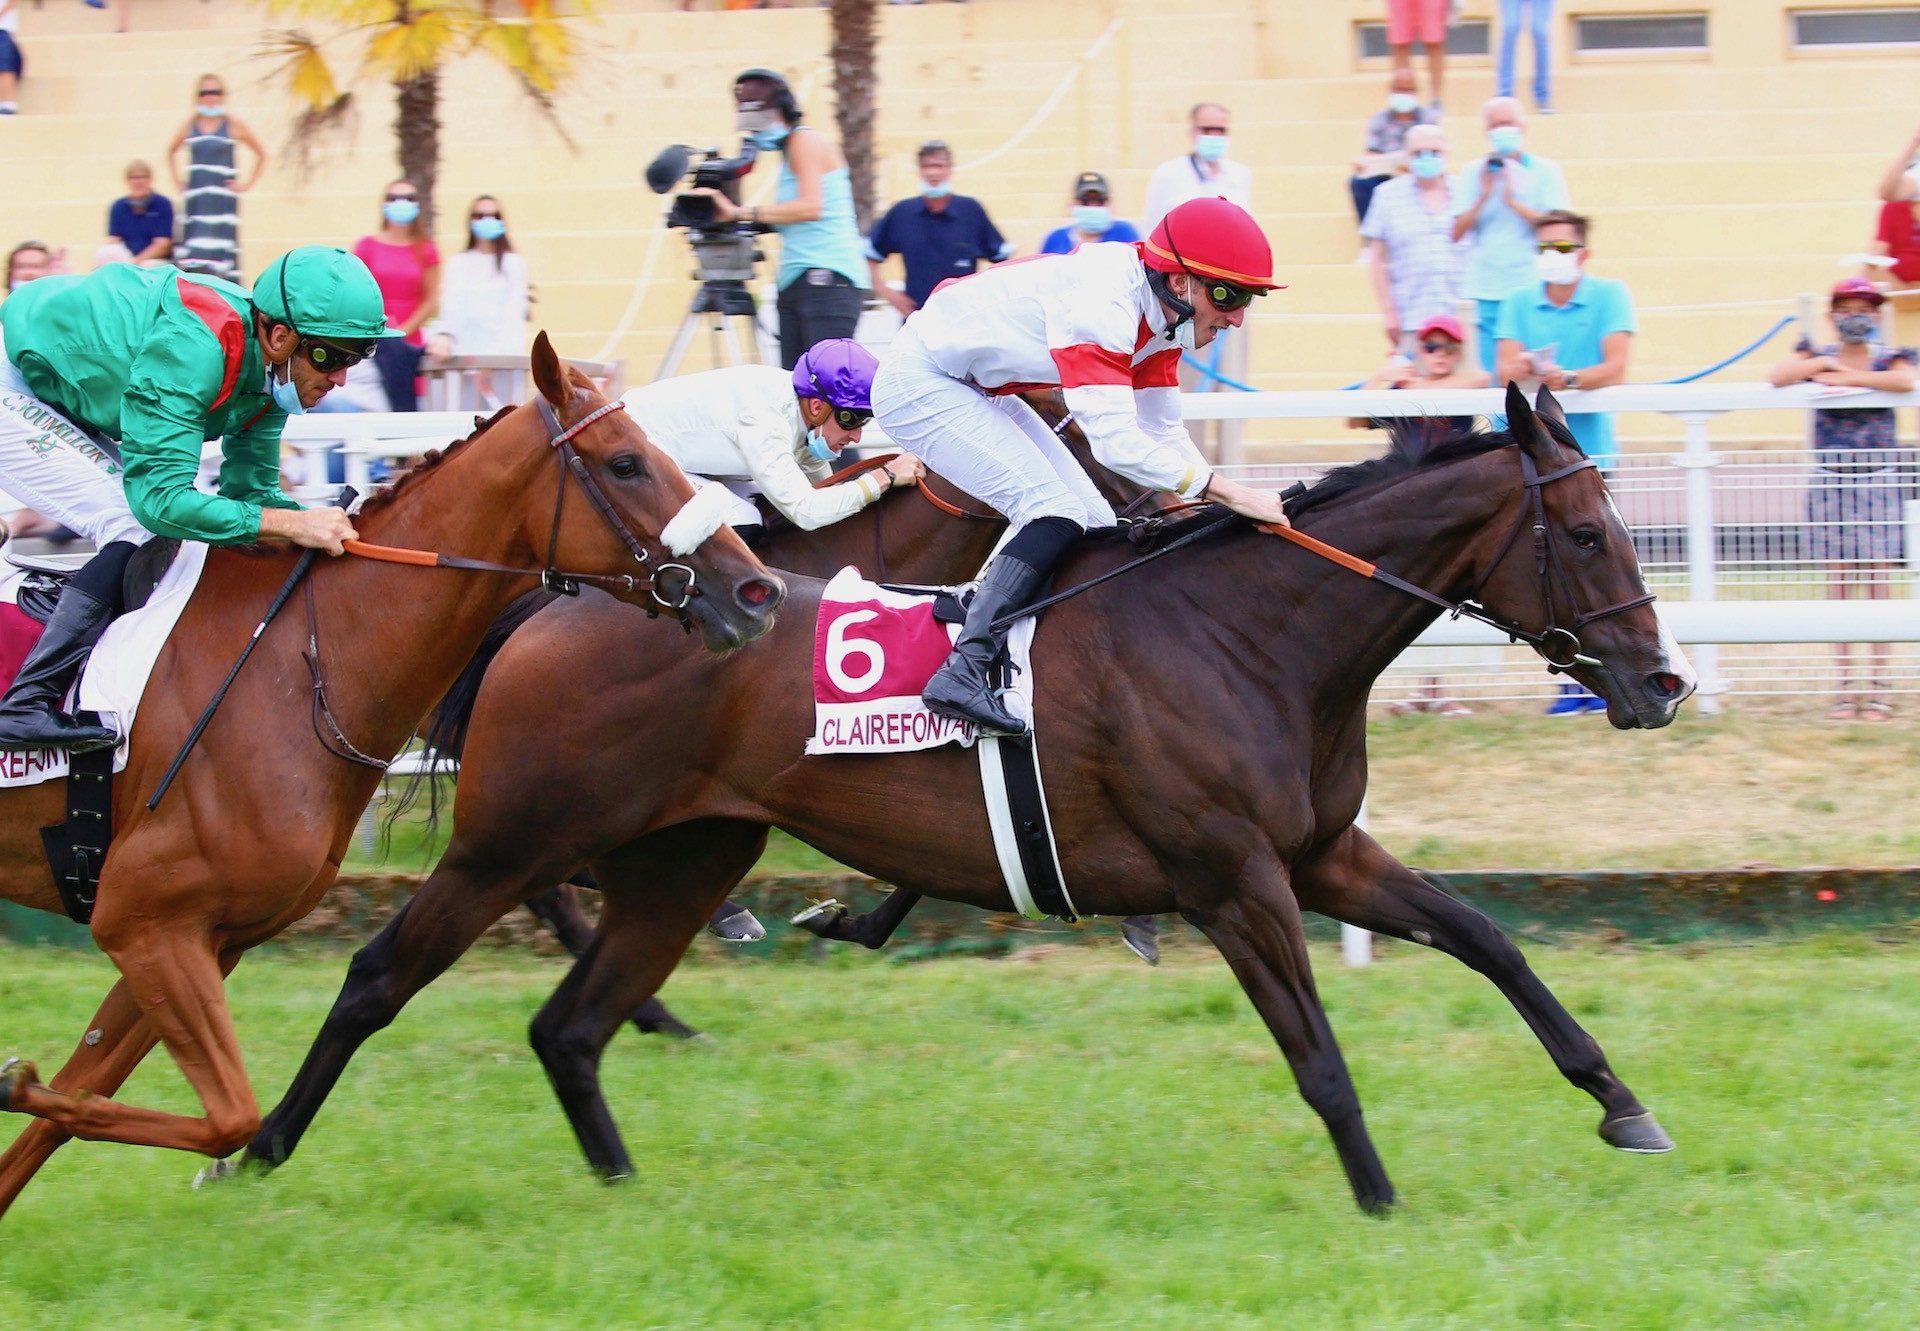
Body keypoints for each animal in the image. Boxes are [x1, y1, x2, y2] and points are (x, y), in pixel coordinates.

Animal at [0, 338, 787, 1221]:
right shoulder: (145, 921)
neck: (298, 666)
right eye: (626, 462)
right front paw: (17, 1083)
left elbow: (84, 1104)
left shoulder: (203, 937)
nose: (757, 590)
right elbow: (223, 1116)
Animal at [243, 384, 1697, 1213]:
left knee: (573, 1025)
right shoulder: (1235, 879)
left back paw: (622, 1185)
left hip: (688, 857)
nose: (1661, 679)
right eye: (1584, 531)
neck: (1245, 632)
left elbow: (1490, 938)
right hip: (514, 839)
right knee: (381, 975)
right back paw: (256, 1149)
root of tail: (565, 599)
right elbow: (1320, 1054)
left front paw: (1621, 1101)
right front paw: (1381, 1196)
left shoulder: (1323, 853)